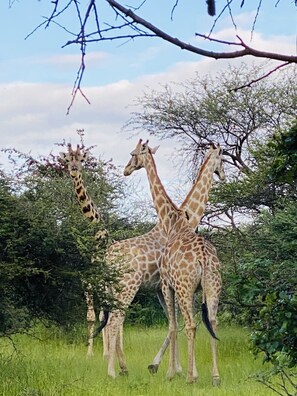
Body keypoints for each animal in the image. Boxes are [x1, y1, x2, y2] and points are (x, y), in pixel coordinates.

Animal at [121, 139, 223, 384]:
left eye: (132, 154)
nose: (126, 170)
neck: (175, 220)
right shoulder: (175, 288)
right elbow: (176, 325)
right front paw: (177, 369)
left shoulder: (168, 286)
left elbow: (174, 325)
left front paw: (171, 370)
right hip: (209, 287)